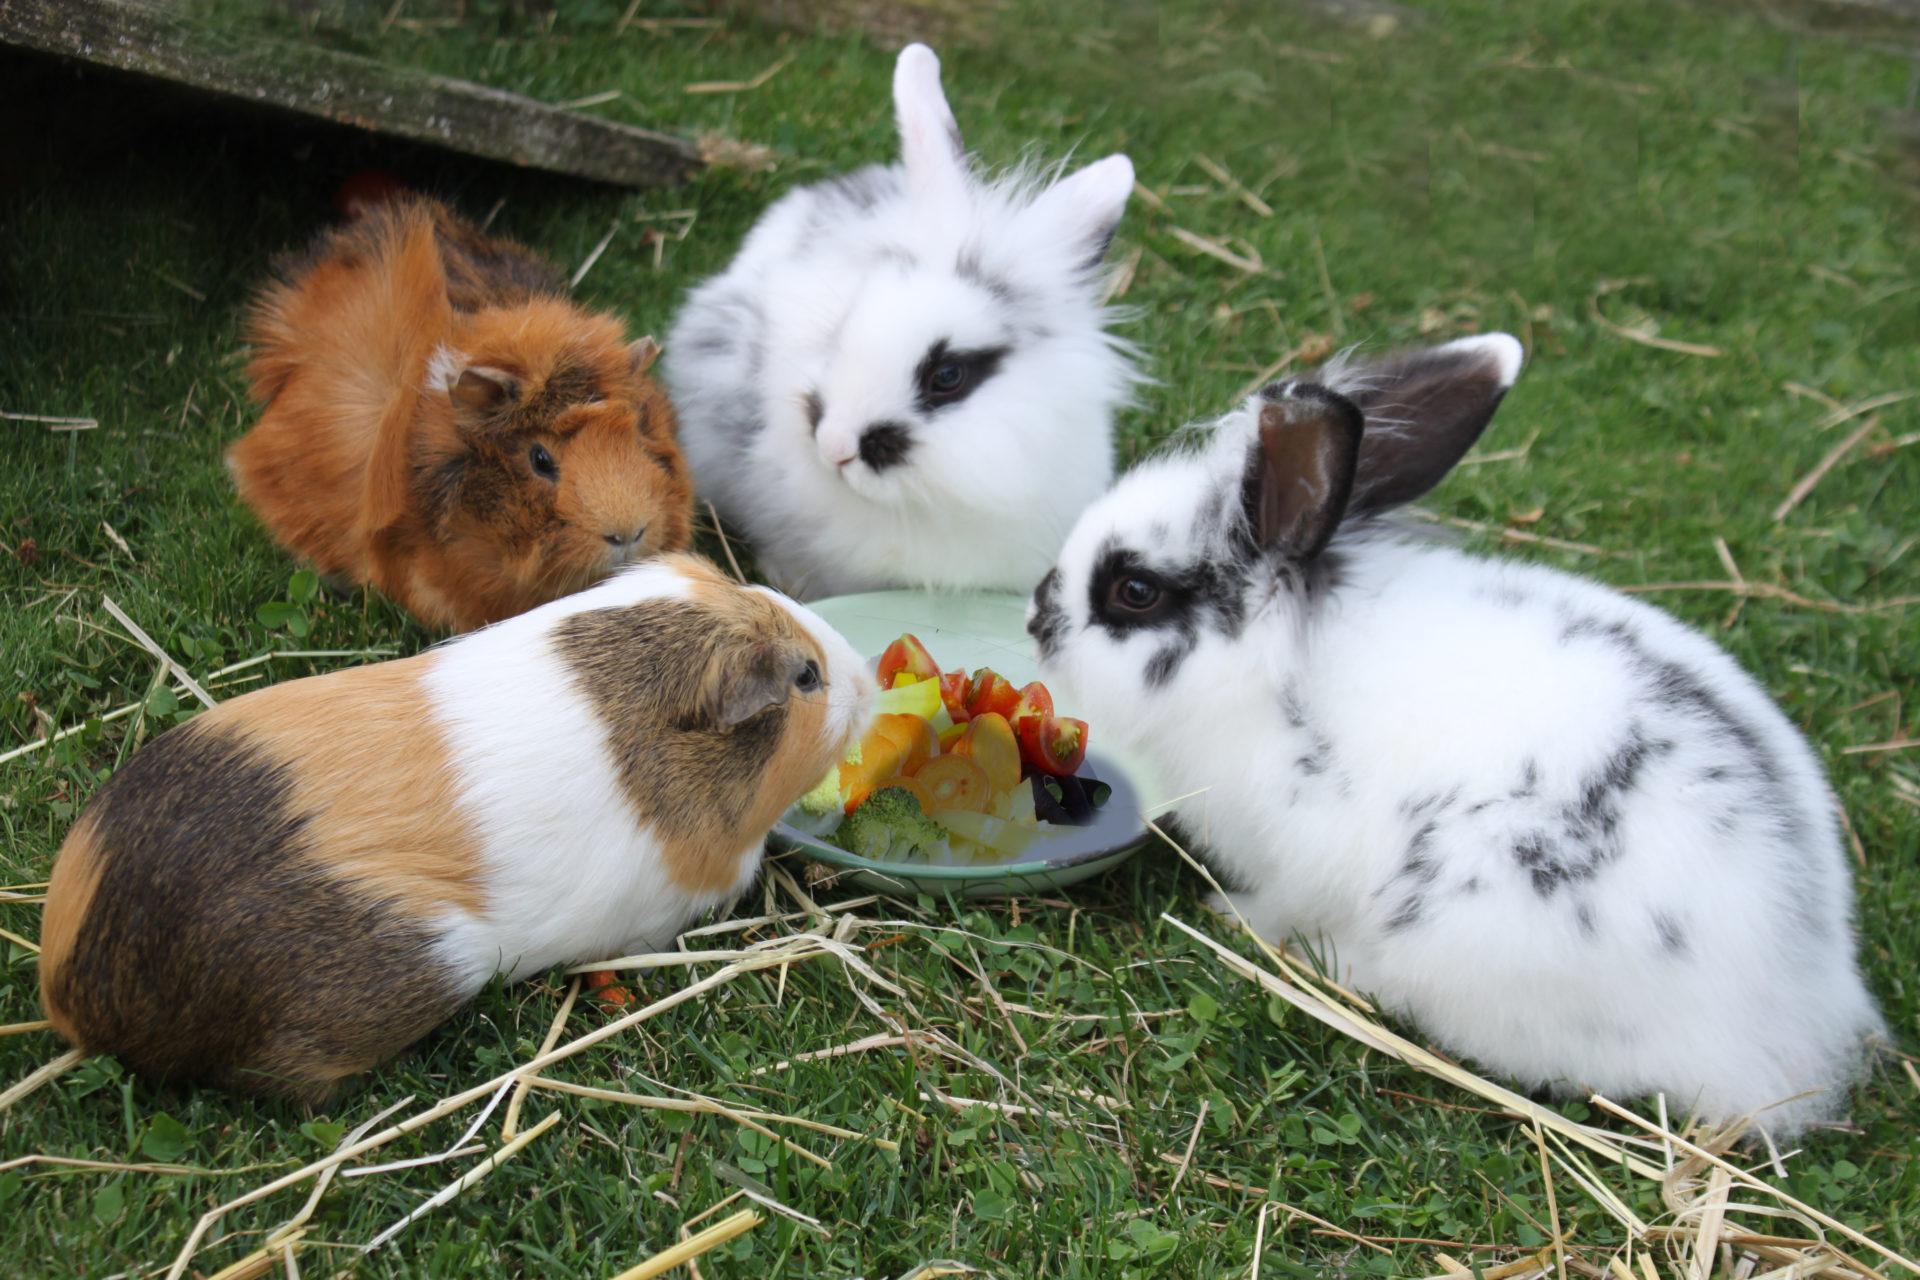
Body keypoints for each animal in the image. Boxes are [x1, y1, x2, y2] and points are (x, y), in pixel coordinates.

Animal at [1029, 335, 1881, 1136]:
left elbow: (1276, 900)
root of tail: (1790, 1020)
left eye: (1134, 590)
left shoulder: (1297, 857)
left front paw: (1227, 915)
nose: (1038, 616)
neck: (1270, 669)